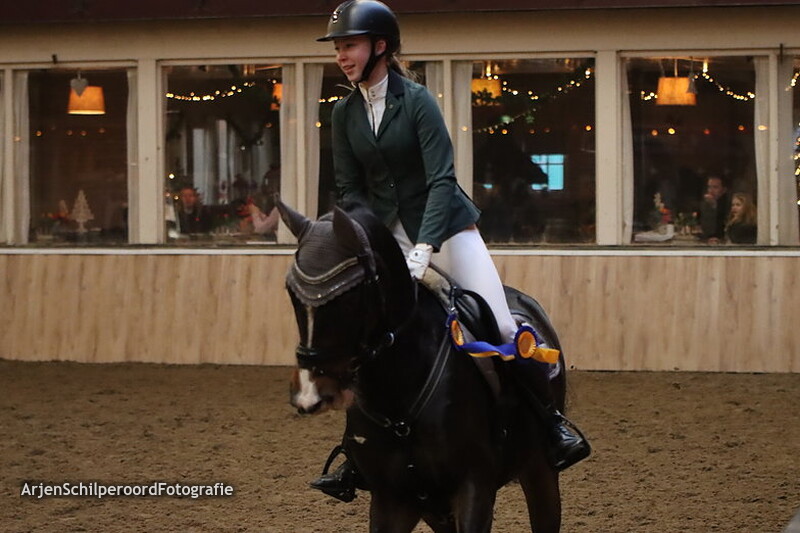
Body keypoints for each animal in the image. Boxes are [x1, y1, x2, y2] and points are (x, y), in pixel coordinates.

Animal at [280, 201, 568, 533]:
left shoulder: (475, 487)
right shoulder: (393, 499)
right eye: (291, 294)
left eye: (350, 297)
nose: (310, 394)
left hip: (539, 470)